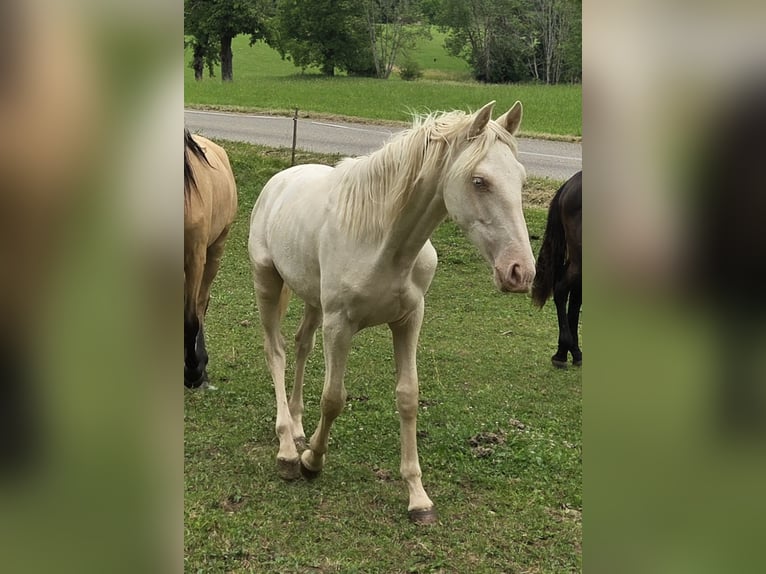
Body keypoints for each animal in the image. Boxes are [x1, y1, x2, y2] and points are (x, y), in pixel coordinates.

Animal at [248, 101, 535, 523]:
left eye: (520, 178)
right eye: (480, 181)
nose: (520, 272)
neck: (383, 240)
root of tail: (280, 180)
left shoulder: (408, 320)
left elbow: (408, 397)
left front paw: (418, 497)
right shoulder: (340, 324)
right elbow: (333, 398)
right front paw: (311, 461)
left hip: (313, 302)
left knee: (301, 346)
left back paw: (298, 427)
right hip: (267, 283)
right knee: (277, 351)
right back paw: (287, 448)